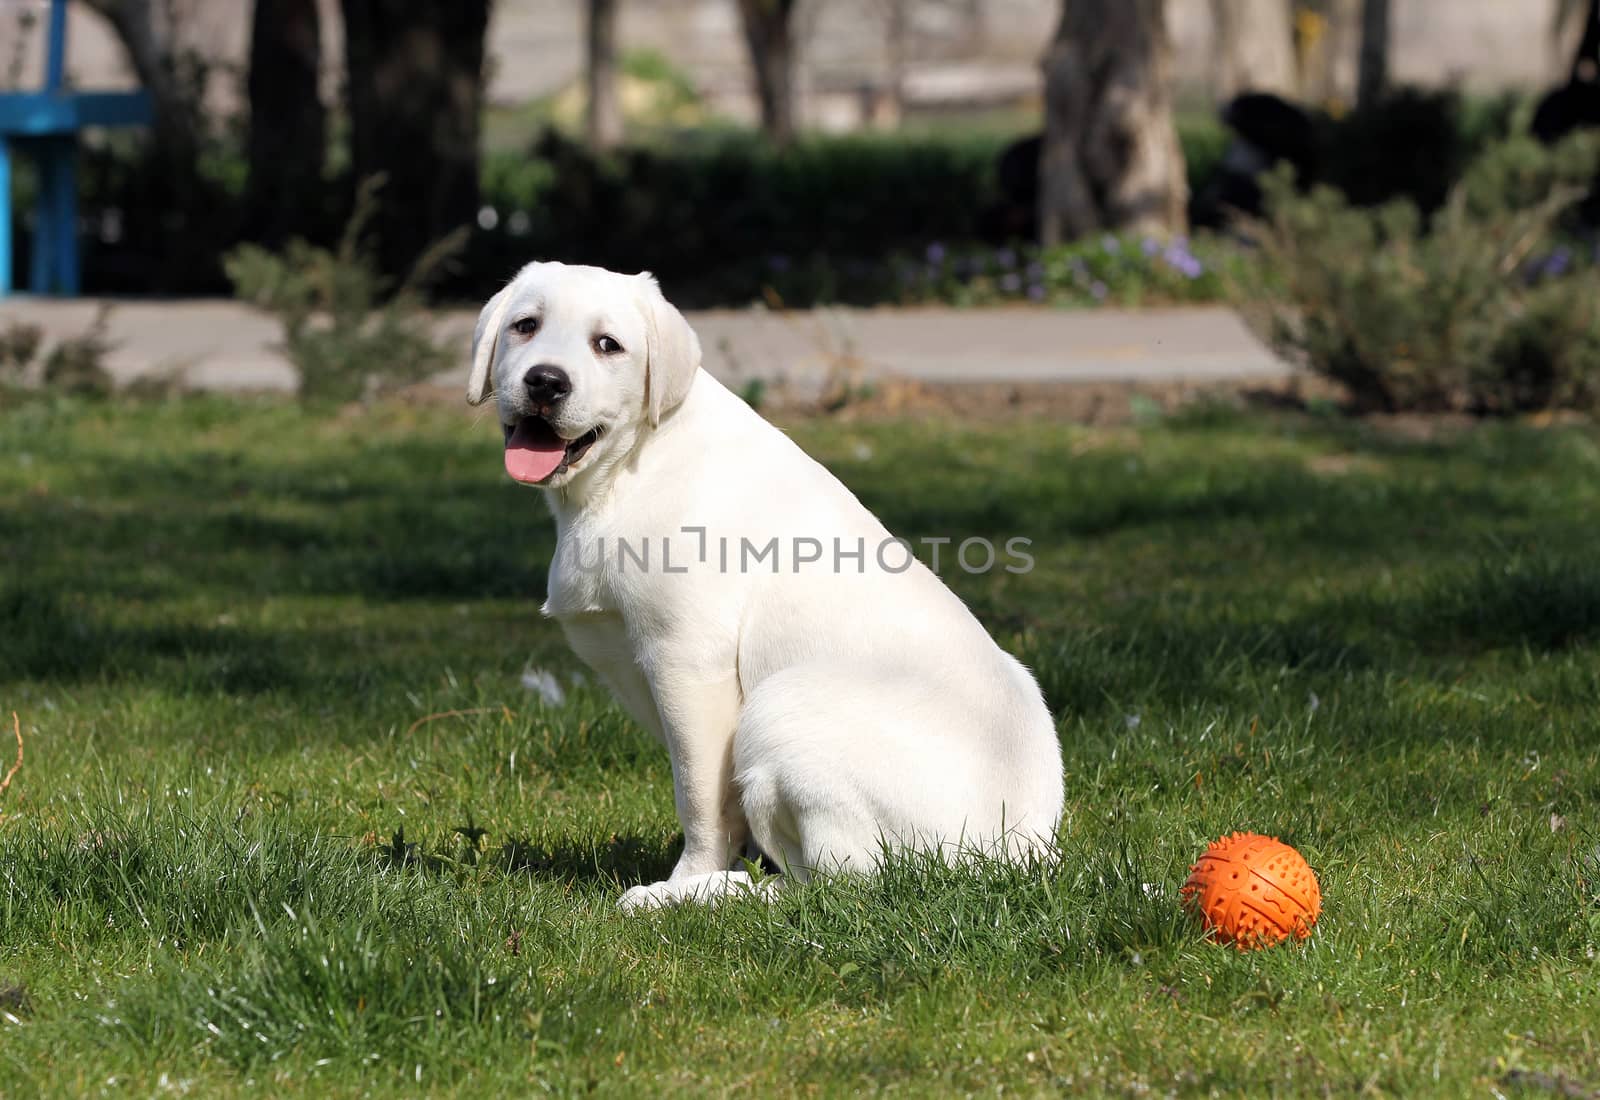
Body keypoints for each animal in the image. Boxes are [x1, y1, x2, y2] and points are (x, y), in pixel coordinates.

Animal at [467, 262, 1062, 908]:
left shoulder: (688, 662)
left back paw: (698, 896)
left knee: (839, 888)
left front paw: (687, 879)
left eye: (608, 345)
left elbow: (700, 799)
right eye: (525, 326)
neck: (630, 468)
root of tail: (1016, 855)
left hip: (781, 708)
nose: (546, 381)